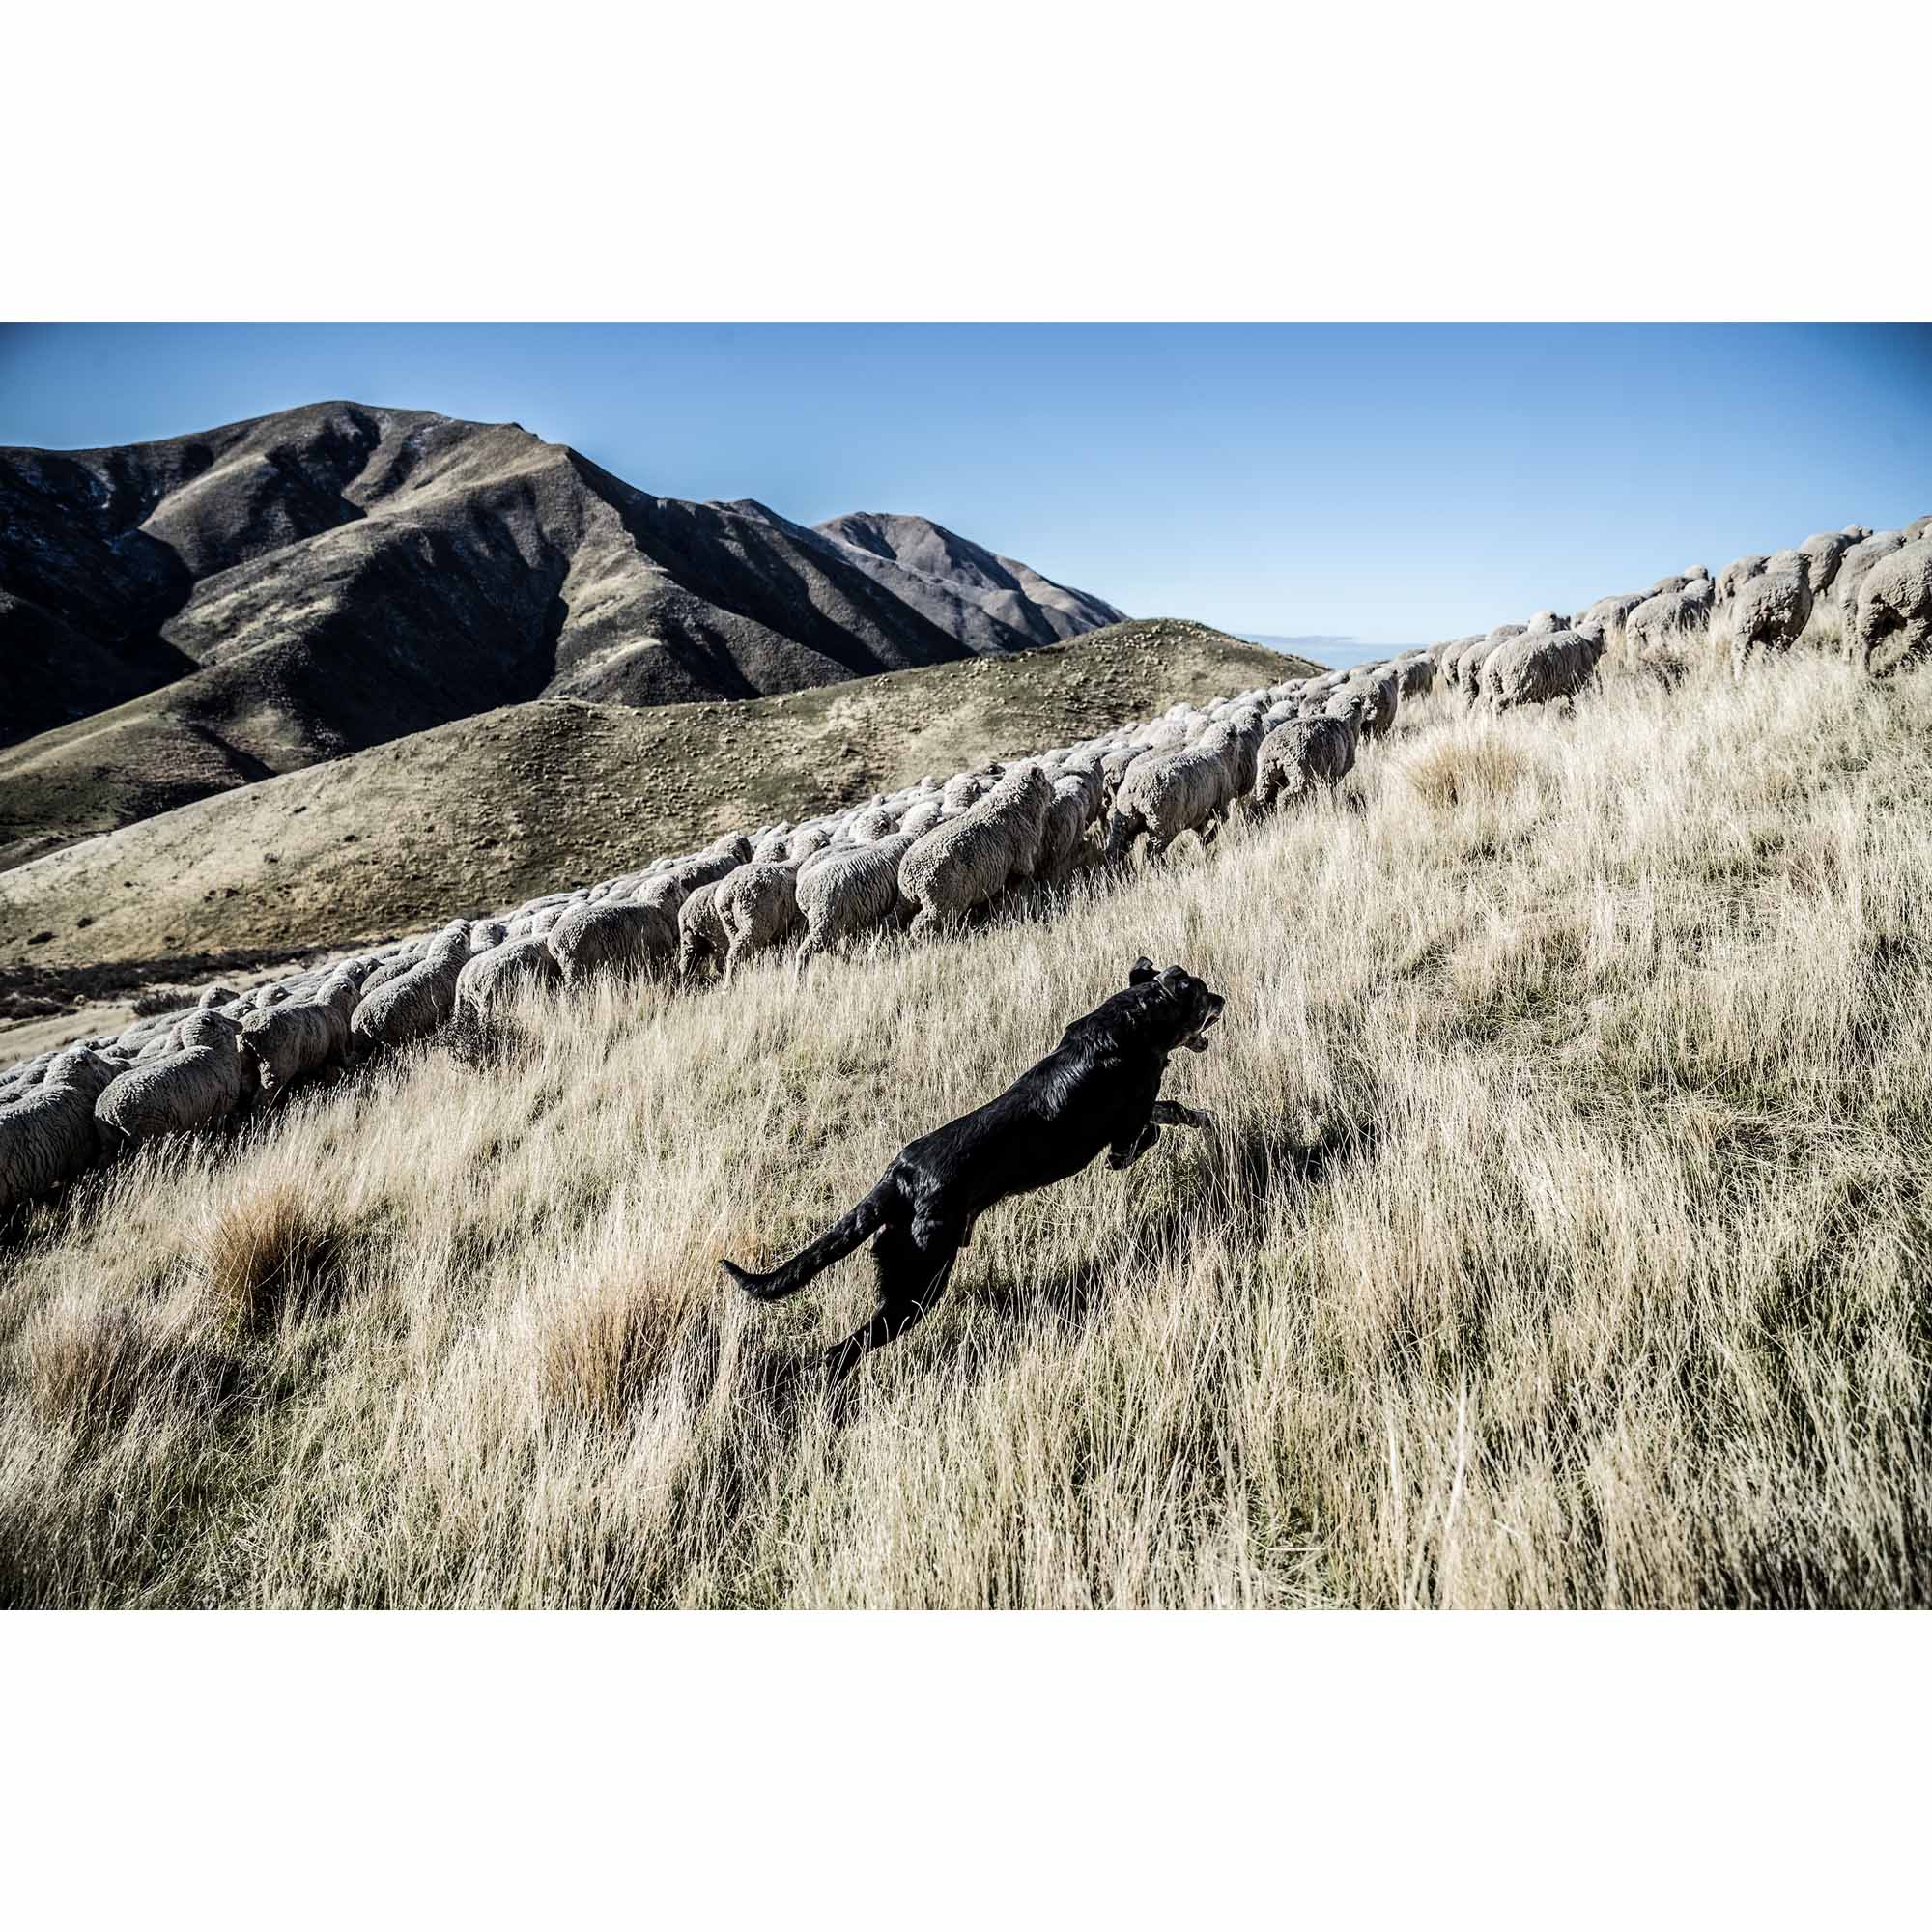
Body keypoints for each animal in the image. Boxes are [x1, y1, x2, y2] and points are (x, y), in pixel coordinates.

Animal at [95, 1012, 251, 1153]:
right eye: (221, 1019)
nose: (240, 1024)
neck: (218, 1051)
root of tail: (108, 1112)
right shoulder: (219, 1111)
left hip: (112, 1142)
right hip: (151, 1135)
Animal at [900, 761, 1054, 937]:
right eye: (1043, 780)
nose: (1053, 791)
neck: (1013, 803)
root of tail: (909, 878)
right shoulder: (1022, 859)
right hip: (942, 902)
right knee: (923, 924)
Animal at [1729, 552, 1815, 677]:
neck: (1784, 568)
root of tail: (1767, 598)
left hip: (1743, 627)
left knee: (1740, 653)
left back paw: (1740, 677)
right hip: (1782, 629)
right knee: (1774, 654)